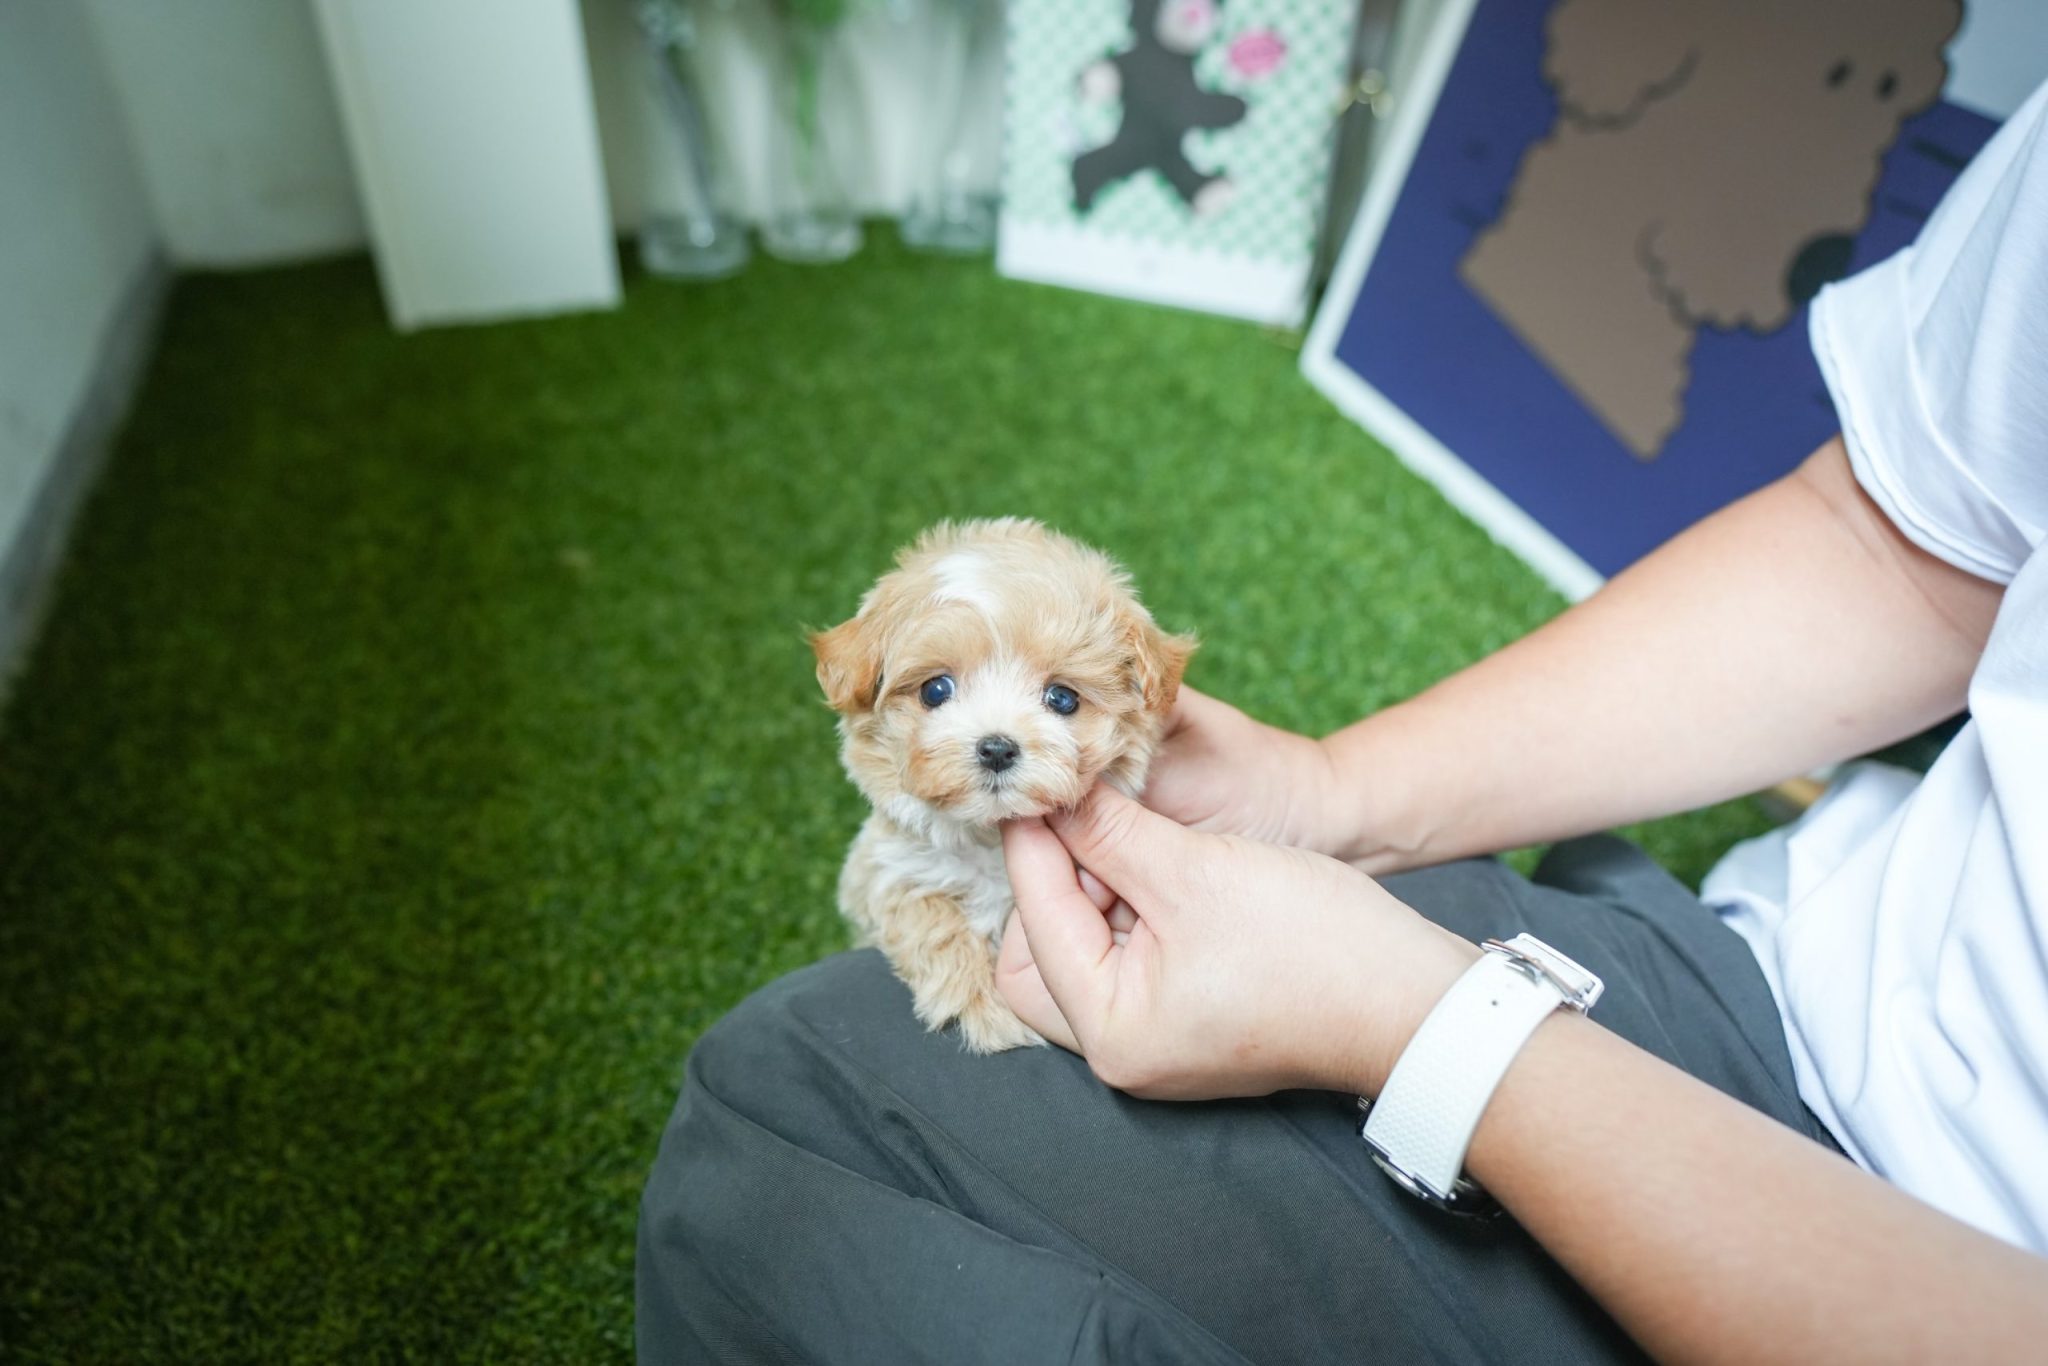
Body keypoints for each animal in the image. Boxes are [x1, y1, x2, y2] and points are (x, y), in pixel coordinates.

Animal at [815, 518, 1196, 1056]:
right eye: (936, 689)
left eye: (1062, 698)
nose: (996, 748)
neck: (989, 835)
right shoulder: (886, 868)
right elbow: (927, 915)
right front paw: (989, 1012)